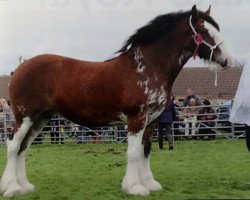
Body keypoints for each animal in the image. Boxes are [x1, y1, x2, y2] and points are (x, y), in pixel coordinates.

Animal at [0, 4, 233, 197]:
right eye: (204, 31)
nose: (228, 60)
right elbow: (133, 153)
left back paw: (25, 186)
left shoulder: (152, 121)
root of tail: (19, 68)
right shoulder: (136, 119)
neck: (146, 68)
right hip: (25, 117)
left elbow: (146, 150)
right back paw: (12, 188)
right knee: (13, 146)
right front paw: (135, 187)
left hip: (41, 118)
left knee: (23, 148)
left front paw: (149, 183)